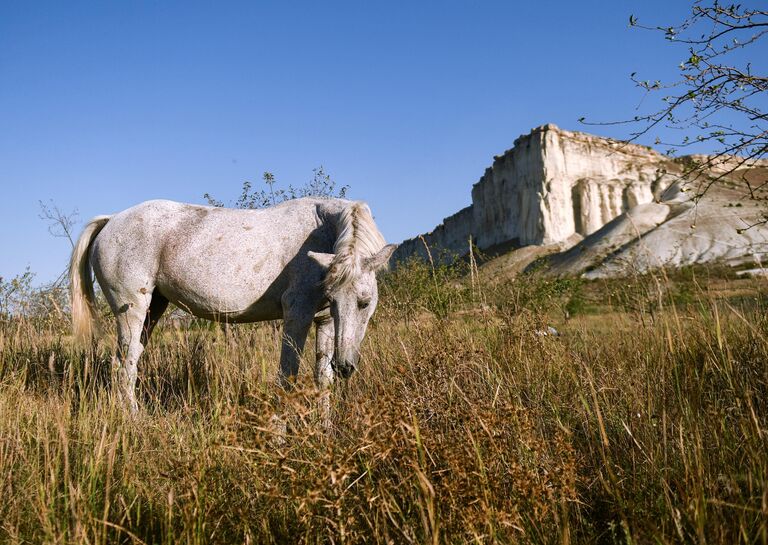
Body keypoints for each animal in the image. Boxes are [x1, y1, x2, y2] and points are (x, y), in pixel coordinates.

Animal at [70, 198, 396, 414]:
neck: (322, 230)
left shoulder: (324, 321)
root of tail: (112, 219)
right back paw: (134, 420)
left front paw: (325, 430)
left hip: (153, 309)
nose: (345, 366)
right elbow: (287, 377)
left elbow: (322, 379)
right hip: (132, 311)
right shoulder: (297, 316)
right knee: (124, 366)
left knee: (130, 359)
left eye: (364, 303)